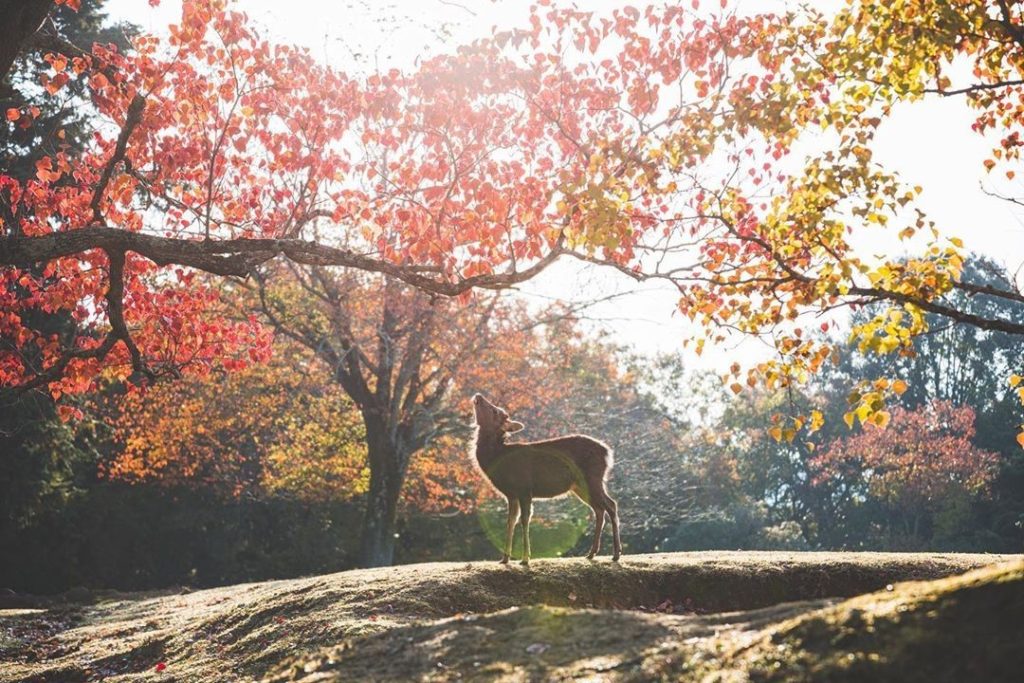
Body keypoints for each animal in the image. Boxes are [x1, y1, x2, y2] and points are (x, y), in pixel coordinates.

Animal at [471, 393, 621, 566]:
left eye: (495, 411)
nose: (478, 395)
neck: (497, 457)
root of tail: (607, 452)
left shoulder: (524, 488)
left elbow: (524, 520)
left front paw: (525, 558)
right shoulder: (511, 494)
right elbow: (510, 522)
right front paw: (504, 559)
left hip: (593, 478)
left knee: (611, 505)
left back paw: (616, 554)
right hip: (580, 487)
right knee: (599, 509)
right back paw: (591, 553)